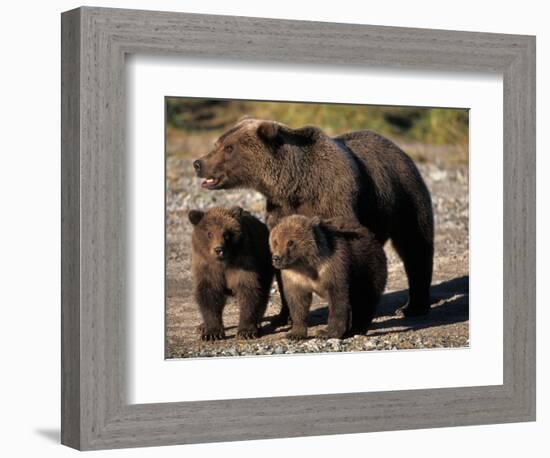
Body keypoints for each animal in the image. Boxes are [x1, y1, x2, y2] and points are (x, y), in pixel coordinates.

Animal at [190, 207, 276, 340]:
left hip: (264, 261)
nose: (218, 249)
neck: (223, 263)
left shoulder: (242, 263)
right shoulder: (207, 268)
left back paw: (257, 322)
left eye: (226, 234)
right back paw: (202, 326)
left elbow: (248, 290)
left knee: (263, 292)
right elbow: (209, 294)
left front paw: (246, 331)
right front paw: (211, 333)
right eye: (209, 233)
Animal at [194, 117, 436, 322]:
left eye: (229, 148)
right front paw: (286, 314)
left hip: (405, 195)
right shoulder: (280, 211)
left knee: (416, 247)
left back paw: (412, 307)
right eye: (217, 143)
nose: (198, 163)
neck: (296, 185)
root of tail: (399, 148)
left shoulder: (334, 200)